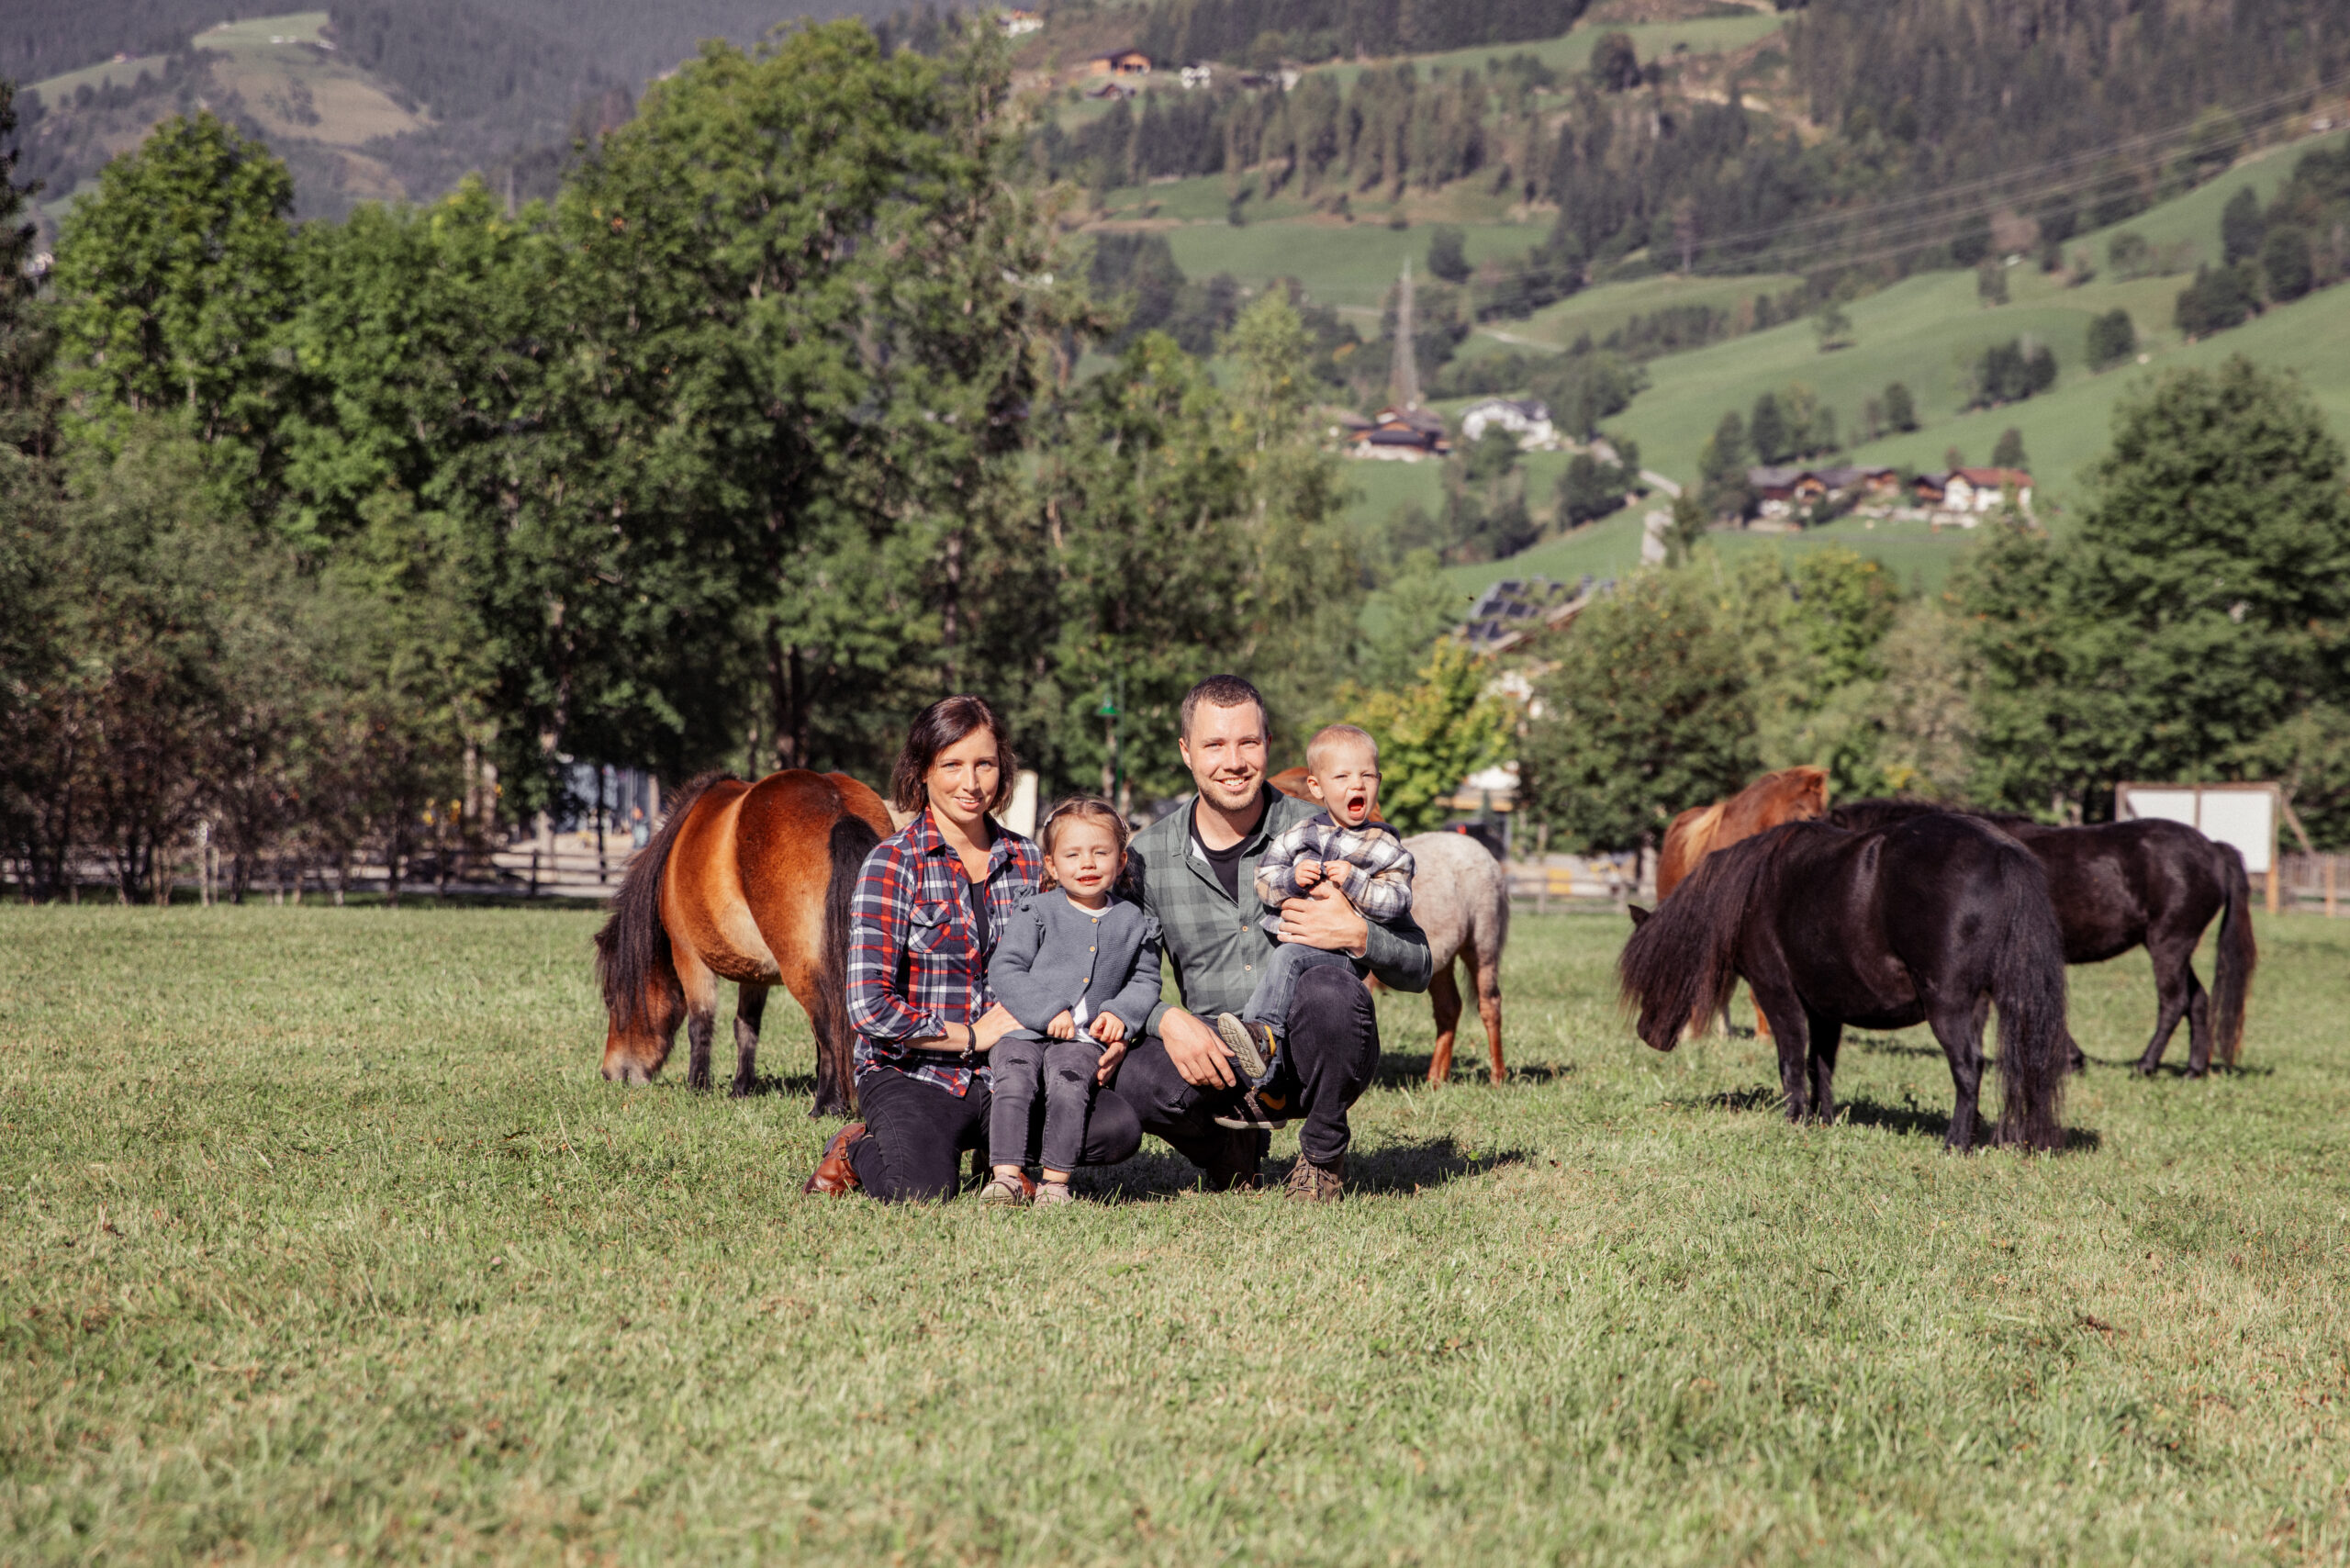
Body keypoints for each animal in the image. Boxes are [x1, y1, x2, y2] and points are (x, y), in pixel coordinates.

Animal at [592, 761, 892, 1109]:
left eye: (611, 999)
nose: (611, 1073)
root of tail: (836, 804)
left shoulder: (688, 957)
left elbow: (700, 1024)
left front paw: (697, 1086)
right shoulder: (755, 972)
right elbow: (746, 1027)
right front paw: (741, 1087)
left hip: (802, 967)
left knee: (827, 1025)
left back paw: (826, 1105)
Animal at [1626, 818, 2067, 1147]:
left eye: (1653, 965)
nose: (1647, 1034)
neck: (1754, 891)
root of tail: (2001, 851)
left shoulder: (1778, 995)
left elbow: (1791, 1060)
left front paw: (1794, 1119)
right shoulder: (1825, 1009)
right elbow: (1820, 1064)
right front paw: (1822, 1119)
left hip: (1948, 1005)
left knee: (1967, 1066)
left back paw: (1956, 1143)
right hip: (1979, 1005)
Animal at [1823, 803, 2246, 1071]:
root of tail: (2212, 848)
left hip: (2169, 942)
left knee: (2174, 1002)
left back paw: (2145, 1065)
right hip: (2177, 945)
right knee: (2198, 999)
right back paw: (2193, 1068)